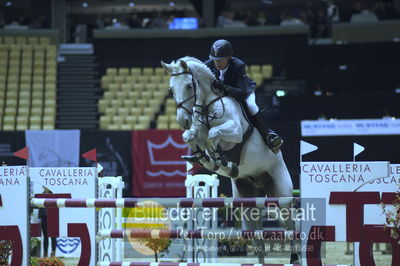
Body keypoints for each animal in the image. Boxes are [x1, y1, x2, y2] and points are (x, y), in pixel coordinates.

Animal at [160, 56, 296, 264]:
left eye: (189, 86)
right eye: (171, 89)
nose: (183, 121)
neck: (208, 104)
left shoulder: (235, 131)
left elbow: (215, 134)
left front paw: (221, 159)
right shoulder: (197, 132)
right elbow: (191, 137)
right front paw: (202, 157)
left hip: (281, 192)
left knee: (290, 225)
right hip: (246, 199)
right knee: (258, 236)